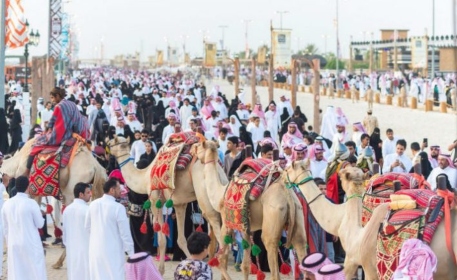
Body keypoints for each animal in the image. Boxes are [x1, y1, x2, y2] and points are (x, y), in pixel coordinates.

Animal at [105, 137, 230, 278]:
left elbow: (162, 240)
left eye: (112, 142)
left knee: (215, 223)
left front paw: (160, 271)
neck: (144, 177)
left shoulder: (155, 200)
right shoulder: (180, 204)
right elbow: (181, 240)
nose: (106, 143)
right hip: (220, 187)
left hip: (204, 193)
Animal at [199, 141, 308, 280]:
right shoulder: (246, 228)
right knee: (300, 243)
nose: (192, 151)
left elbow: (221, 259)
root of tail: (286, 193)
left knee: (271, 250)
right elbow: (245, 265)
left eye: (198, 146)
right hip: (298, 213)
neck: (219, 195)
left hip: (273, 215)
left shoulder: (227, 222)